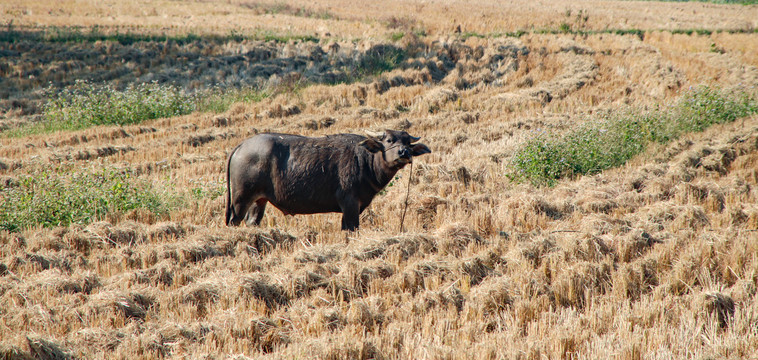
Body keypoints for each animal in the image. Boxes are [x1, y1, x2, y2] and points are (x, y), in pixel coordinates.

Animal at [224, 130, 434, 231]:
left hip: (259, 200)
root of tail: (241, 146)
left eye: (407, 142)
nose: (404, 153)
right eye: (389, 140)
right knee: (235, 221)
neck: (365, 160)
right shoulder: (350, 204)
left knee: (252, 221)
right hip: (240, 199)